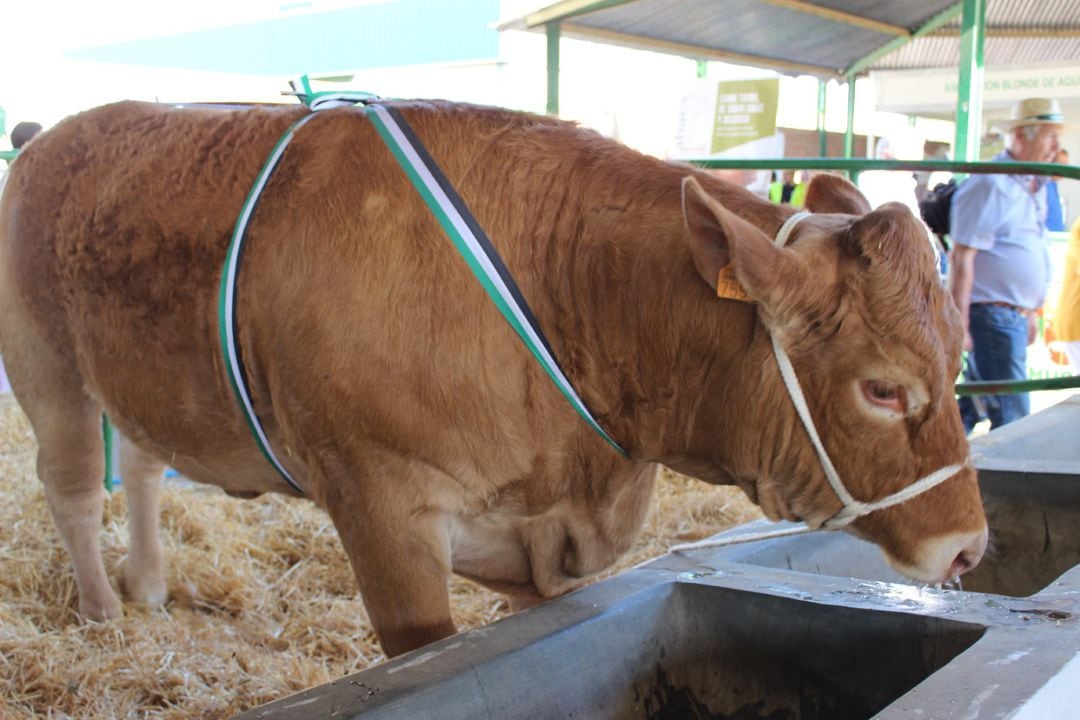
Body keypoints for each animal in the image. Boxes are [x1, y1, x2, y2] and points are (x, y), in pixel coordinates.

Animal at [0, 101, 989, 660]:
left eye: (957, 354)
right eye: (884, 389)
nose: (970, 548)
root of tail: (56, 135)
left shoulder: (535, 532)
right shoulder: (379, 499)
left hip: (143, 377)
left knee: (141, 462)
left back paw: (148, 583)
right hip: (47, 365)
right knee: (75, 486)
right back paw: (103, 611)